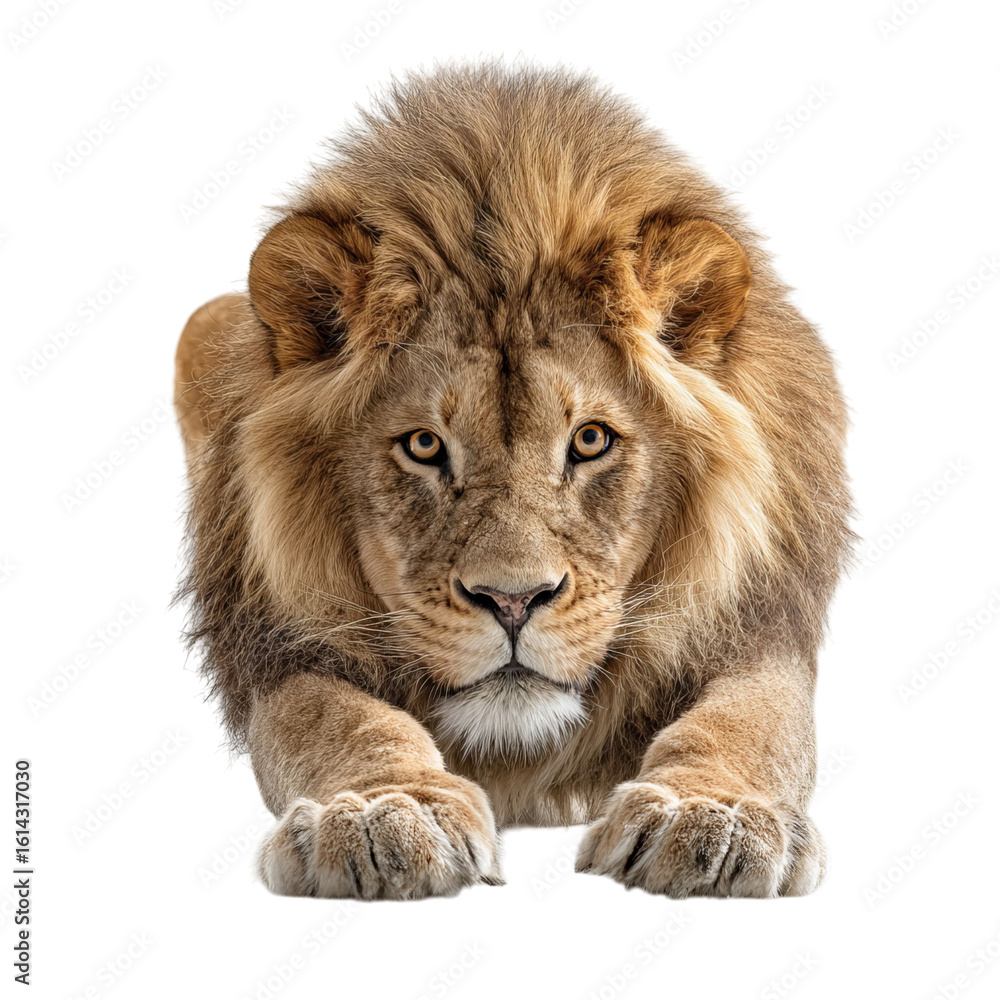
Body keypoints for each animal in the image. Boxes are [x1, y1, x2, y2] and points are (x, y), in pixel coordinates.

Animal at [174, 63, 852, 900]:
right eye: (424, 445)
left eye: (590, 440)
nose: (513, 601)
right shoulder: (277, 641)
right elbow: (333, 717)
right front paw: (382, 810)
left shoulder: (762, 622)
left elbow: (750, 719)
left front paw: (711, 815)